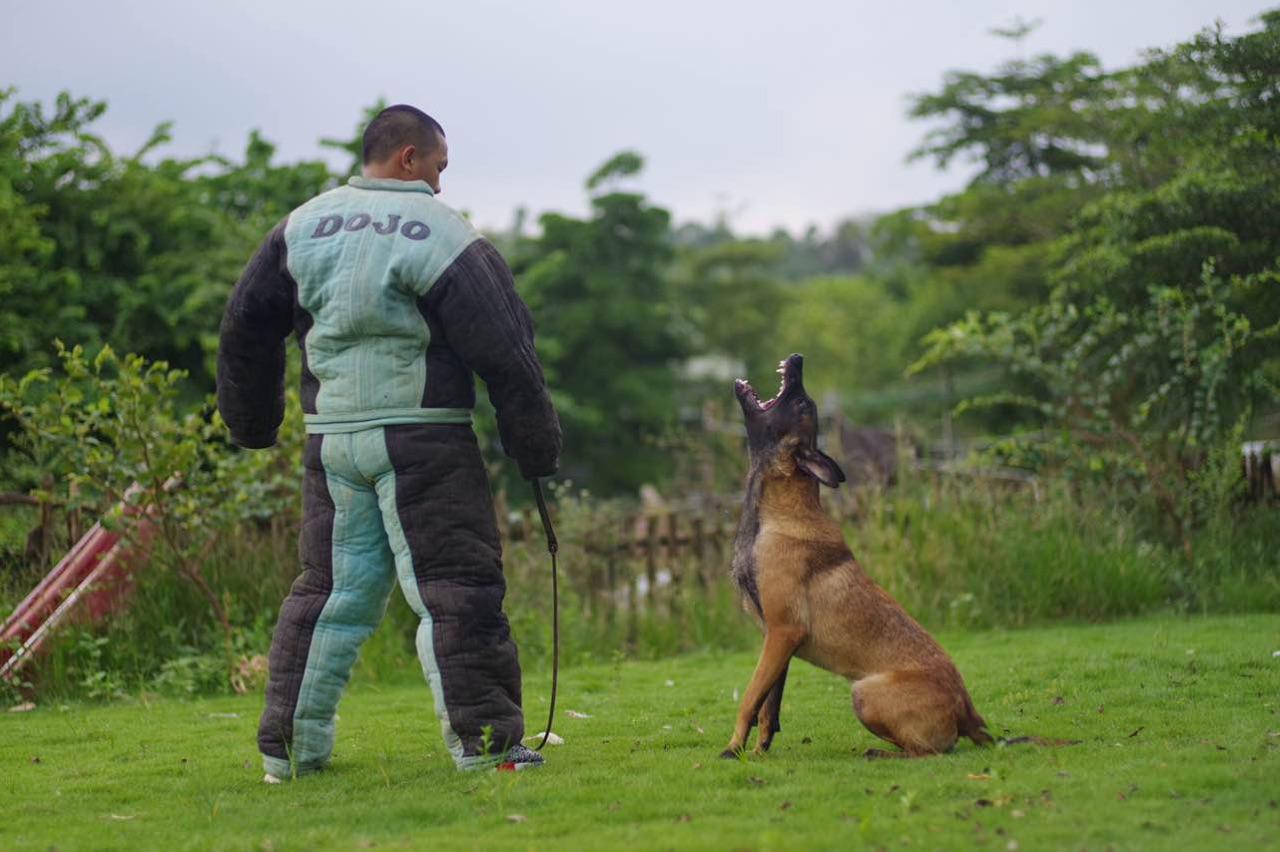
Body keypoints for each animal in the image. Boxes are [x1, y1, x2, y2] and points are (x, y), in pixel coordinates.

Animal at [721, 350, 988, 757]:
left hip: (864, 692)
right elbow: (769, 705)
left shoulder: (783, 631)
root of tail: (968, 710)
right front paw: (758, 751)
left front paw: (733, 748)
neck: (777, 514)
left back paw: (881, 754)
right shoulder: (777, 639)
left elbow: (750, 697)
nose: (798, 357)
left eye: (802, 403)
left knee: (927, 752)